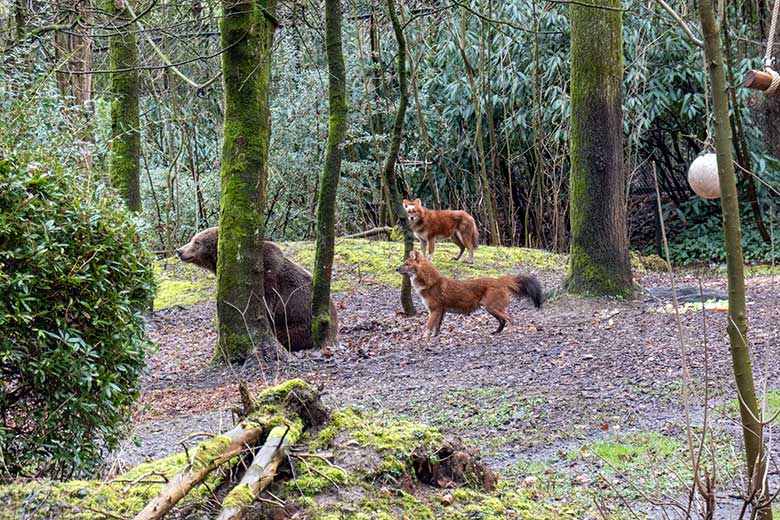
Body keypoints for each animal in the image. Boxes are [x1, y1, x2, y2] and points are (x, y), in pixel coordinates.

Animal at [175, 226, 336, 352]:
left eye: (196, 242)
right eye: (192, 239)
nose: (179, 250)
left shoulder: (268, 280)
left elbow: (266, 308)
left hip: (300, 323)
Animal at [396, 251, 544, 338]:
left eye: (406, 264)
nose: (396, 268)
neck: (431, 283)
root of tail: (499, 279)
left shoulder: (434, 310)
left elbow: (428, 327)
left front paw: (424, 339)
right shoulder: (441, 311)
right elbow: (437, 327)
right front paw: (435, 337)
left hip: (492, 307)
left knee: (510, 318)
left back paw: (509, 332)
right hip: (492, 309)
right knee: (503, 320)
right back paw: (496, 332)